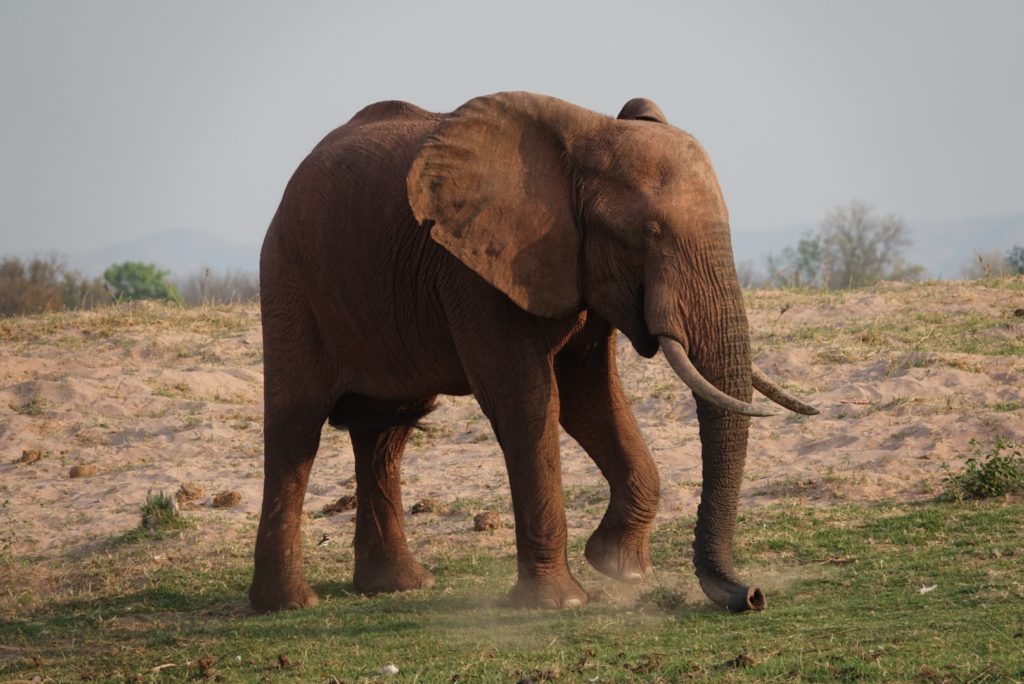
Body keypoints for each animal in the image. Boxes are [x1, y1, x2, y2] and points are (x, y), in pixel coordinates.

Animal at [251, 92, 819, 614]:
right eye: (648, 233)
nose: (752, 595)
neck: (587, 137)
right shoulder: (477, 270)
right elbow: (527, 402)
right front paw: (561, 602)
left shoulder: (573, 265)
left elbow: (589, 397)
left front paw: (619, 567)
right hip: (288, 281)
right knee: (296, 429)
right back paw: (290, 604)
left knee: (386, 431)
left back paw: (400, 586)